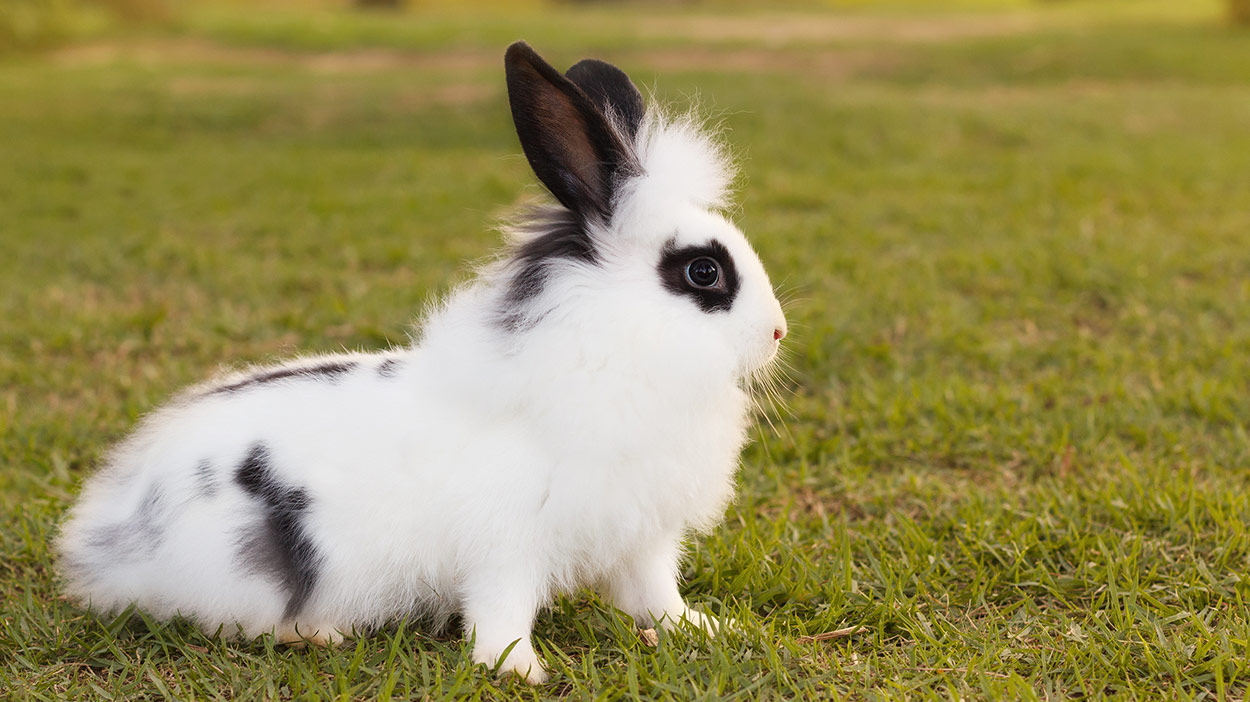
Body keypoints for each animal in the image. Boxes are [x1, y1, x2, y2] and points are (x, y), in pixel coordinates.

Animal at [58, 40, 785, 679]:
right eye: (703, 272)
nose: (777, 332)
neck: (613, 347)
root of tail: (109, 528)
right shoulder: (507, 548)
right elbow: (501, 612)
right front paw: (518, 670)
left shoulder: (641, 538)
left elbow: (657, 599)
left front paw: (712, 630)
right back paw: (318, 633)